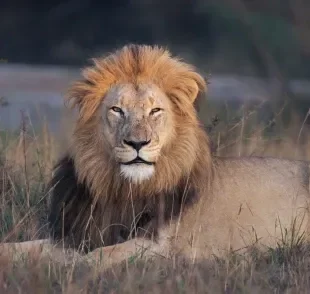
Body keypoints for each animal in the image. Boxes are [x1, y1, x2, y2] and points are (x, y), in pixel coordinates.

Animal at [0, 43, 310, 266]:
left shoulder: (162, 245)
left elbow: (96, 257)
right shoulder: (78, 233)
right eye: (117, 110)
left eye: (155, 111)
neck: (123, 190)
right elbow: (18, 248)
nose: (137, 143)